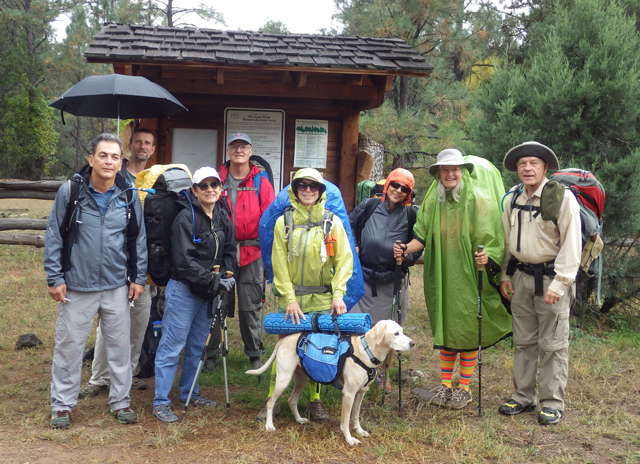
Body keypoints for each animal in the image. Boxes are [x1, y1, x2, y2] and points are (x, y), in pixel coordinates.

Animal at [245, 320, 416, 446]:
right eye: (396, 333)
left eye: (402, 331)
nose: (412, 343)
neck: (367, 351)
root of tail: (283, 339)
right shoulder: (348, 394)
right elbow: (346, 420)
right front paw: (349, 438)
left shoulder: (360, 393)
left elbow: (355, 416)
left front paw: (359, 431)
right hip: (283, 379)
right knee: (270, 403)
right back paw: (269, 425)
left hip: (302, 379)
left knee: (291, 400)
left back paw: (299, 419)